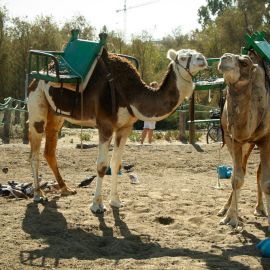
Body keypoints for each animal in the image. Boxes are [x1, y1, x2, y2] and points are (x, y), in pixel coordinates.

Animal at [28, 48, 207, 213]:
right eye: (183, 57)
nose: (202, 59)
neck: (130, 93)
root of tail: (38, 75)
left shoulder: (125, 128)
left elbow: (116, 163)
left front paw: (115, 201)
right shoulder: (105, 125)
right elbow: (101, 165)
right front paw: (97, 205)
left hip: (57, 115)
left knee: (49, 150)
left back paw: (66, 189)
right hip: (37, 107)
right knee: (34, 153)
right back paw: (38, 194)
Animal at [217, 53, 270, 230]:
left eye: (245, 63)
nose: (224, 58)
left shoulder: (266, 140)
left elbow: (267, 182)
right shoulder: (234, 139)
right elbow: (236, 178)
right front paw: (231, 218)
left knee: (259, 172)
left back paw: (260, 208)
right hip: (247, 144)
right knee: (246, 171)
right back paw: (226, 209)